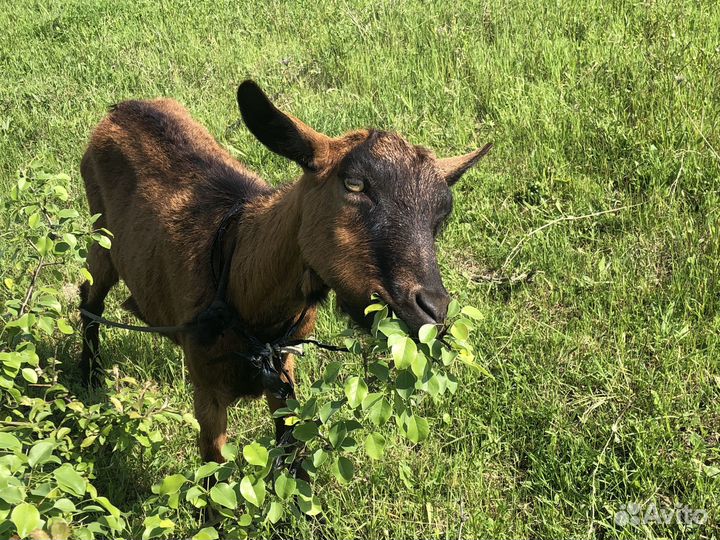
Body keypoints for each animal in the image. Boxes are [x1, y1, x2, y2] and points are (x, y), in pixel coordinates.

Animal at [79, 80, 491, 463]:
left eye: (442, 216)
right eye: (354, 184)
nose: (432, 311)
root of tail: (123, 107)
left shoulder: (284, 372)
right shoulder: (207, 391)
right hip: (101, 237)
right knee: (89, 299)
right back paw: (90, 377)